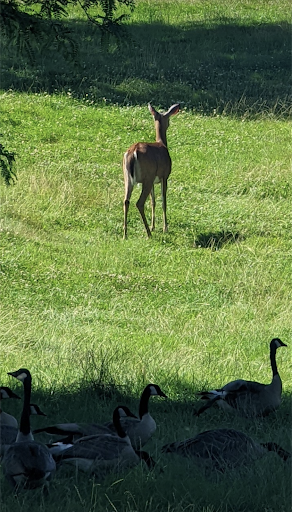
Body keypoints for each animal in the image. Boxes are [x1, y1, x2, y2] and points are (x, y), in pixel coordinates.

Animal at [122, 104, 179, 242]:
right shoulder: (164, 176)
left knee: (126, 201)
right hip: (147, 177)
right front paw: (164, 228)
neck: (162, 144)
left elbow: (153, 201)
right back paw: (148, 233)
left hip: (128, 177)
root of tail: (133, 151)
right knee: (139, 202)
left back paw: (125, 234)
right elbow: (163, 201)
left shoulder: (153, 180)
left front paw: (154, 226)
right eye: (168, 118)